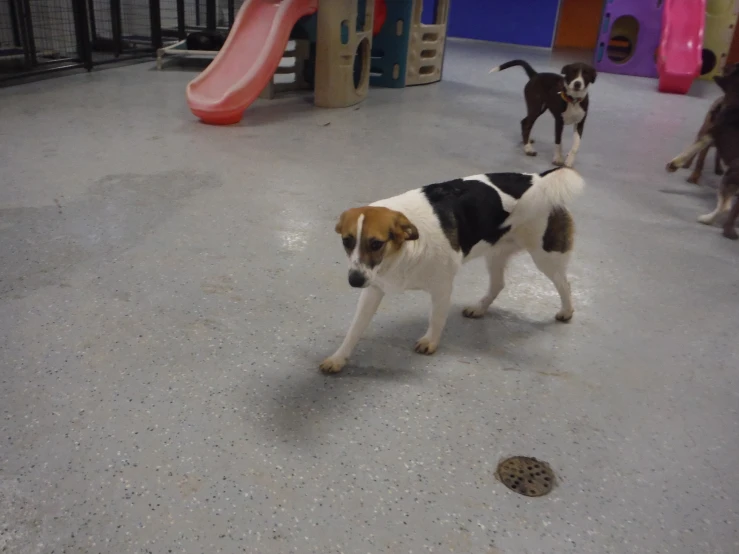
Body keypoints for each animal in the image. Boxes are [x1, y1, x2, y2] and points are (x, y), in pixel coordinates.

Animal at [320, 166, 588, 374]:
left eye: (376, 244)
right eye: (347, 241)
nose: (354, 281)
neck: (402, 251)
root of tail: (539, 178)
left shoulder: (442, 287)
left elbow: (437, 318)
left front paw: (430, 341)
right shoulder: (373, 289)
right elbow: (355, 329)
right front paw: (339, 358)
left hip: (546, 256)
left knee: (564, 283)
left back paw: (566, 311)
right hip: (496, 254)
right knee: (498, 284)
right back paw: (479, 308)